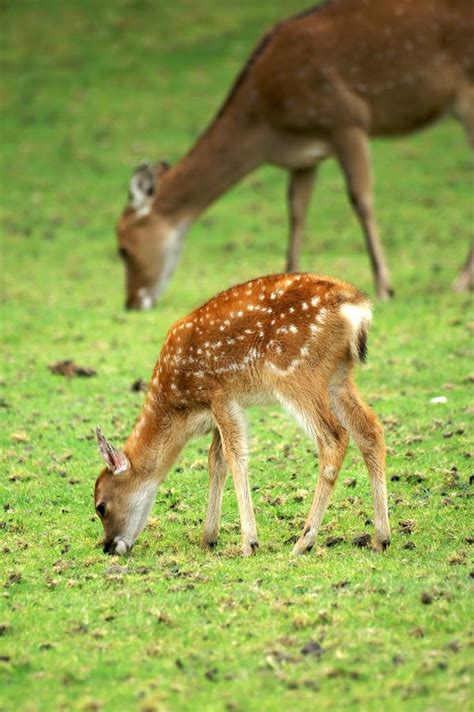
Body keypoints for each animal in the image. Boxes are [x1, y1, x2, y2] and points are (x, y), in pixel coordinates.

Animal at [93, 272, 388, 556]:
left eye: (101, 507)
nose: (109, 547)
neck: (180, 409)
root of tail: (357, 308)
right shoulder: (222, 407)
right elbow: (216, 461)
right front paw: (208, 538)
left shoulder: (220, 394)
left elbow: (236, 458)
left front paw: (249, 543)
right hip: (338, 375)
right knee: (370, 429)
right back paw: (381, 538)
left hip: (296, 371)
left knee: (334, 437)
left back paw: (304, 542)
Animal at [115, 0, 474, 308]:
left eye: (123, 248)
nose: (131, 303)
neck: (268, 126)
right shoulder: (304, 157)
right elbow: (297, 211)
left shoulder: (346, 119)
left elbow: (361, 199)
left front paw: (385, 287)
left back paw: (460, 281)